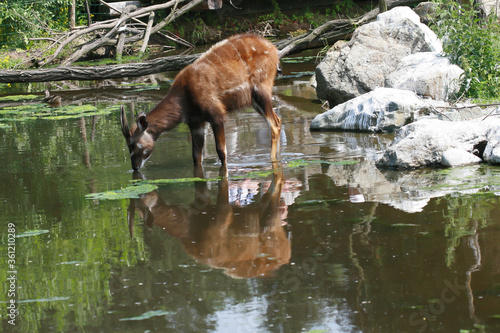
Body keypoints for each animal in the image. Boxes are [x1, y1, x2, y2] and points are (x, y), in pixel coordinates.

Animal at [119, 33, 280, 170]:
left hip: (261, 88)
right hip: (254, 99)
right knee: (277, 119)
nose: (134, 167)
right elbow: (196, 157)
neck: (184, 103)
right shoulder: (196, 122)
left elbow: (221, 152)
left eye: (132, 144)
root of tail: (274, 49)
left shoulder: (216, 114)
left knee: (274, 125)